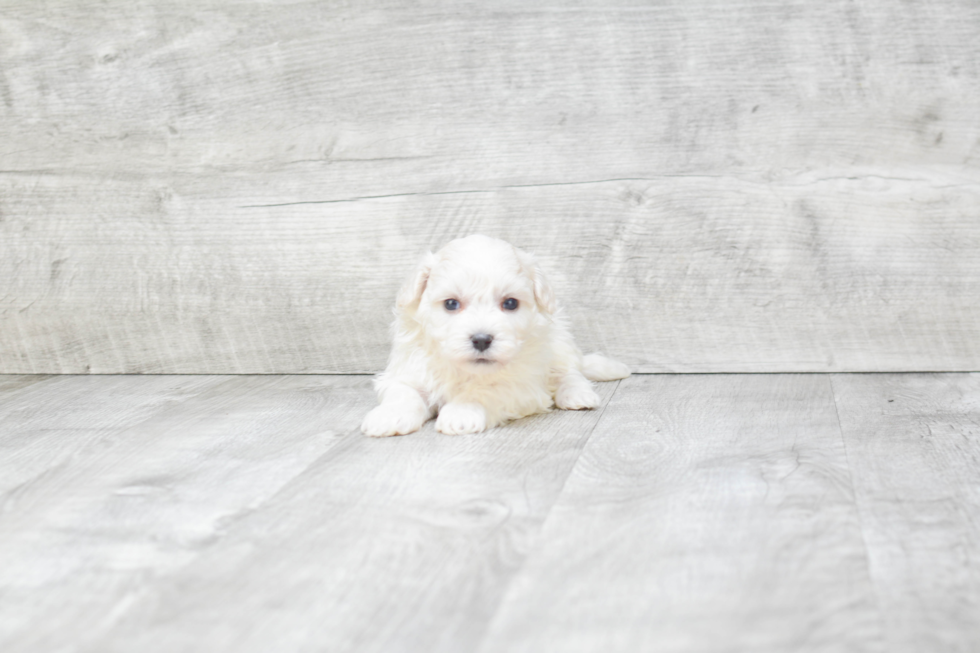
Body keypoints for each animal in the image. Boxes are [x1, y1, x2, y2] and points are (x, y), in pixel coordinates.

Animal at [360, 232, 628, 436]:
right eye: (451, 304)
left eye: (510, 303)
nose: (481, 339)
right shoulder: (408, 370)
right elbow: (403, 392)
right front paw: (390, 416)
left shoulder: (521, 385)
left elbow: (486, 390)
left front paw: (461, 411)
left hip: (559, 341)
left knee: (569, 372)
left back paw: (577, 394)